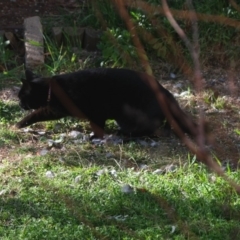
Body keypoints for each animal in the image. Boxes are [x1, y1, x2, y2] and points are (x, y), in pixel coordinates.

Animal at [16, 67, 199, 139]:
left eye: (21, 96)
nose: (19, 104)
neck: (50, 89)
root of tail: (165, 91)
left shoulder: (92, 111)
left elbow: (37, 113)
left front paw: (20, 123)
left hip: (129, 114)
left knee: (152, 129)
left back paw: (124, 134)